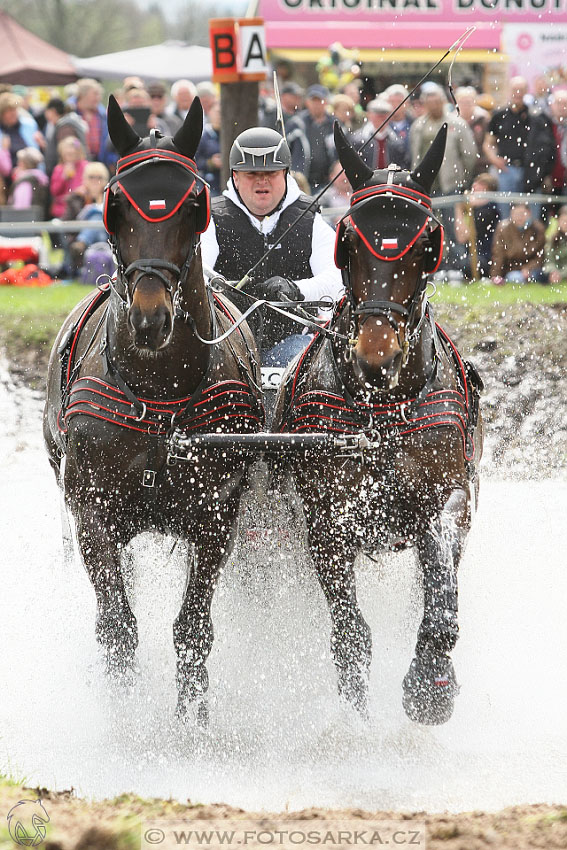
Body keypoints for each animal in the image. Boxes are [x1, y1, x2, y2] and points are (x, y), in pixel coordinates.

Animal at [43, 99, 262, 724]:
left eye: (193, 205)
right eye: (116, 204)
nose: (149, 317)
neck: (160, 394)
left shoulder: (216, 518)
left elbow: (193, 629)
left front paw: (192, 723)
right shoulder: (91, 513)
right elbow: (117, 626)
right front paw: (125, 723)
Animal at [274, 122, 484, 724]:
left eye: (427, 242)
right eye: (348, 240)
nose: (376, 354)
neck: (379, 412)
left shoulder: (448, 496)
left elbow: (441, 589)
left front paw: (431, 681)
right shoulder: (326, 518)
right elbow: (350, 631)